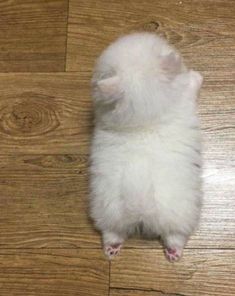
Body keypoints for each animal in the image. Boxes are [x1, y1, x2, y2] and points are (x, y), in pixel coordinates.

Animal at [89, 32, 203, 262]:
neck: (143, 123)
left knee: (111, 232)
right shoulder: (185, 96)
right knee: (175, 235)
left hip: (109, 212)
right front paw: (197, 76)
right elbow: (191, 84)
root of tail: (140, 205)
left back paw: (112, 249)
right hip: (180, 214)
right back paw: (174, 253)